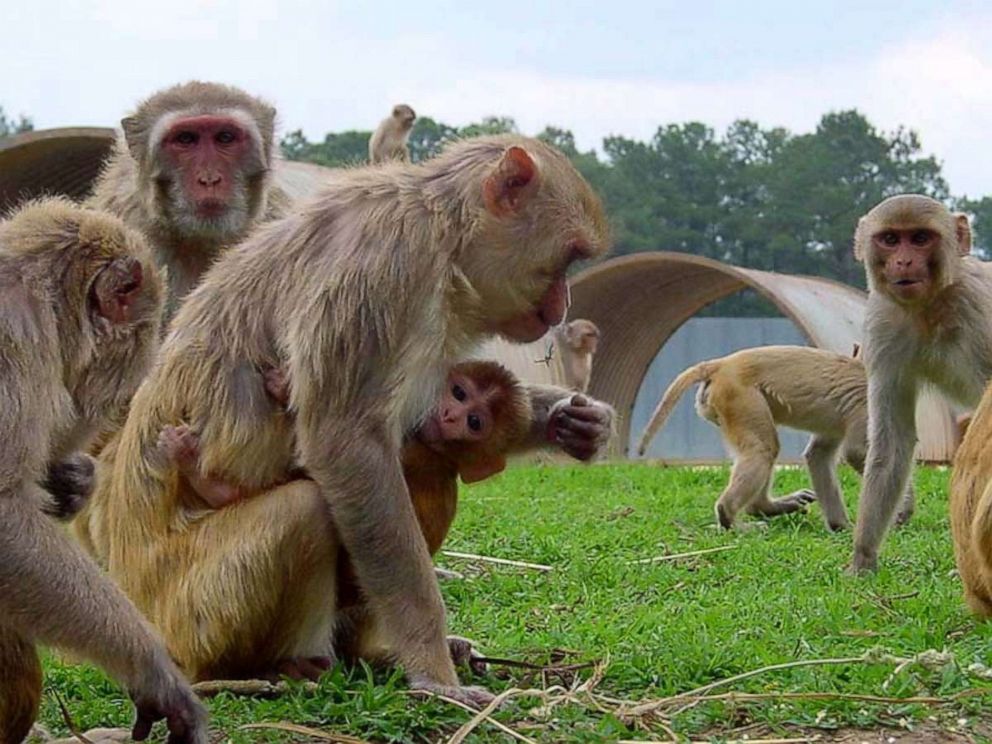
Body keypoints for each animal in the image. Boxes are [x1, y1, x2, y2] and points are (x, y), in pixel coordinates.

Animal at [73, 132, 608, 704]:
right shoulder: (383, 271)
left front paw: (569, 422)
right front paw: (433, 670)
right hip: (189, 612)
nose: (562, 306)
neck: (443, 238)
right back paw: (271, 668)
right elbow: (345, 444)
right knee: (304, 510)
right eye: (569, 260)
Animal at [636, 346, 916, 532]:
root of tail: (722, 364)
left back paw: (763, 507)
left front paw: (841, 526)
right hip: (738, 396)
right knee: (763, 449)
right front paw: (900, 510)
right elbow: (858, 452)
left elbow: (818, 456)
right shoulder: (868, 408)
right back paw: (730, 517)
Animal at [848, 195, 992, 572]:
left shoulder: (978, 311)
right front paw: (863, 557)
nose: (904, 261)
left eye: (921, 238)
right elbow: (891, 442)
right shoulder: (882, 325)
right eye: (890, 239)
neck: (931, 306)